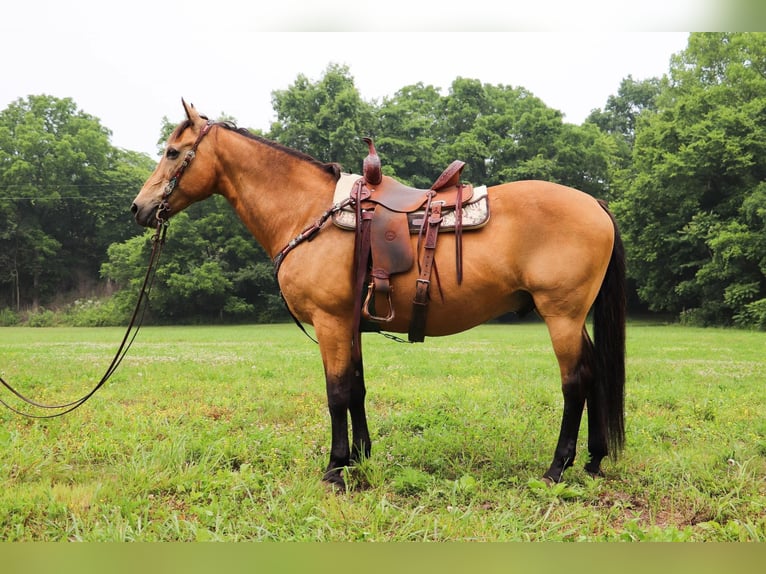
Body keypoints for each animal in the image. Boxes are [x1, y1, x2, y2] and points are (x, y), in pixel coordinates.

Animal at [130, 101, 624, 488]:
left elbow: (335, 392)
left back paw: (557, 468)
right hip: (572, 318)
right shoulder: (350, 324)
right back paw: (594, 459)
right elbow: (356, 388)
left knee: (575, 381)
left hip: (561, 315)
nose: (139, 207)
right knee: (595, 372)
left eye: (173, 152)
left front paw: (335, 469)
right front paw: (361, 458)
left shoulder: (330, 322)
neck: (308, 212)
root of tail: (595, 203)